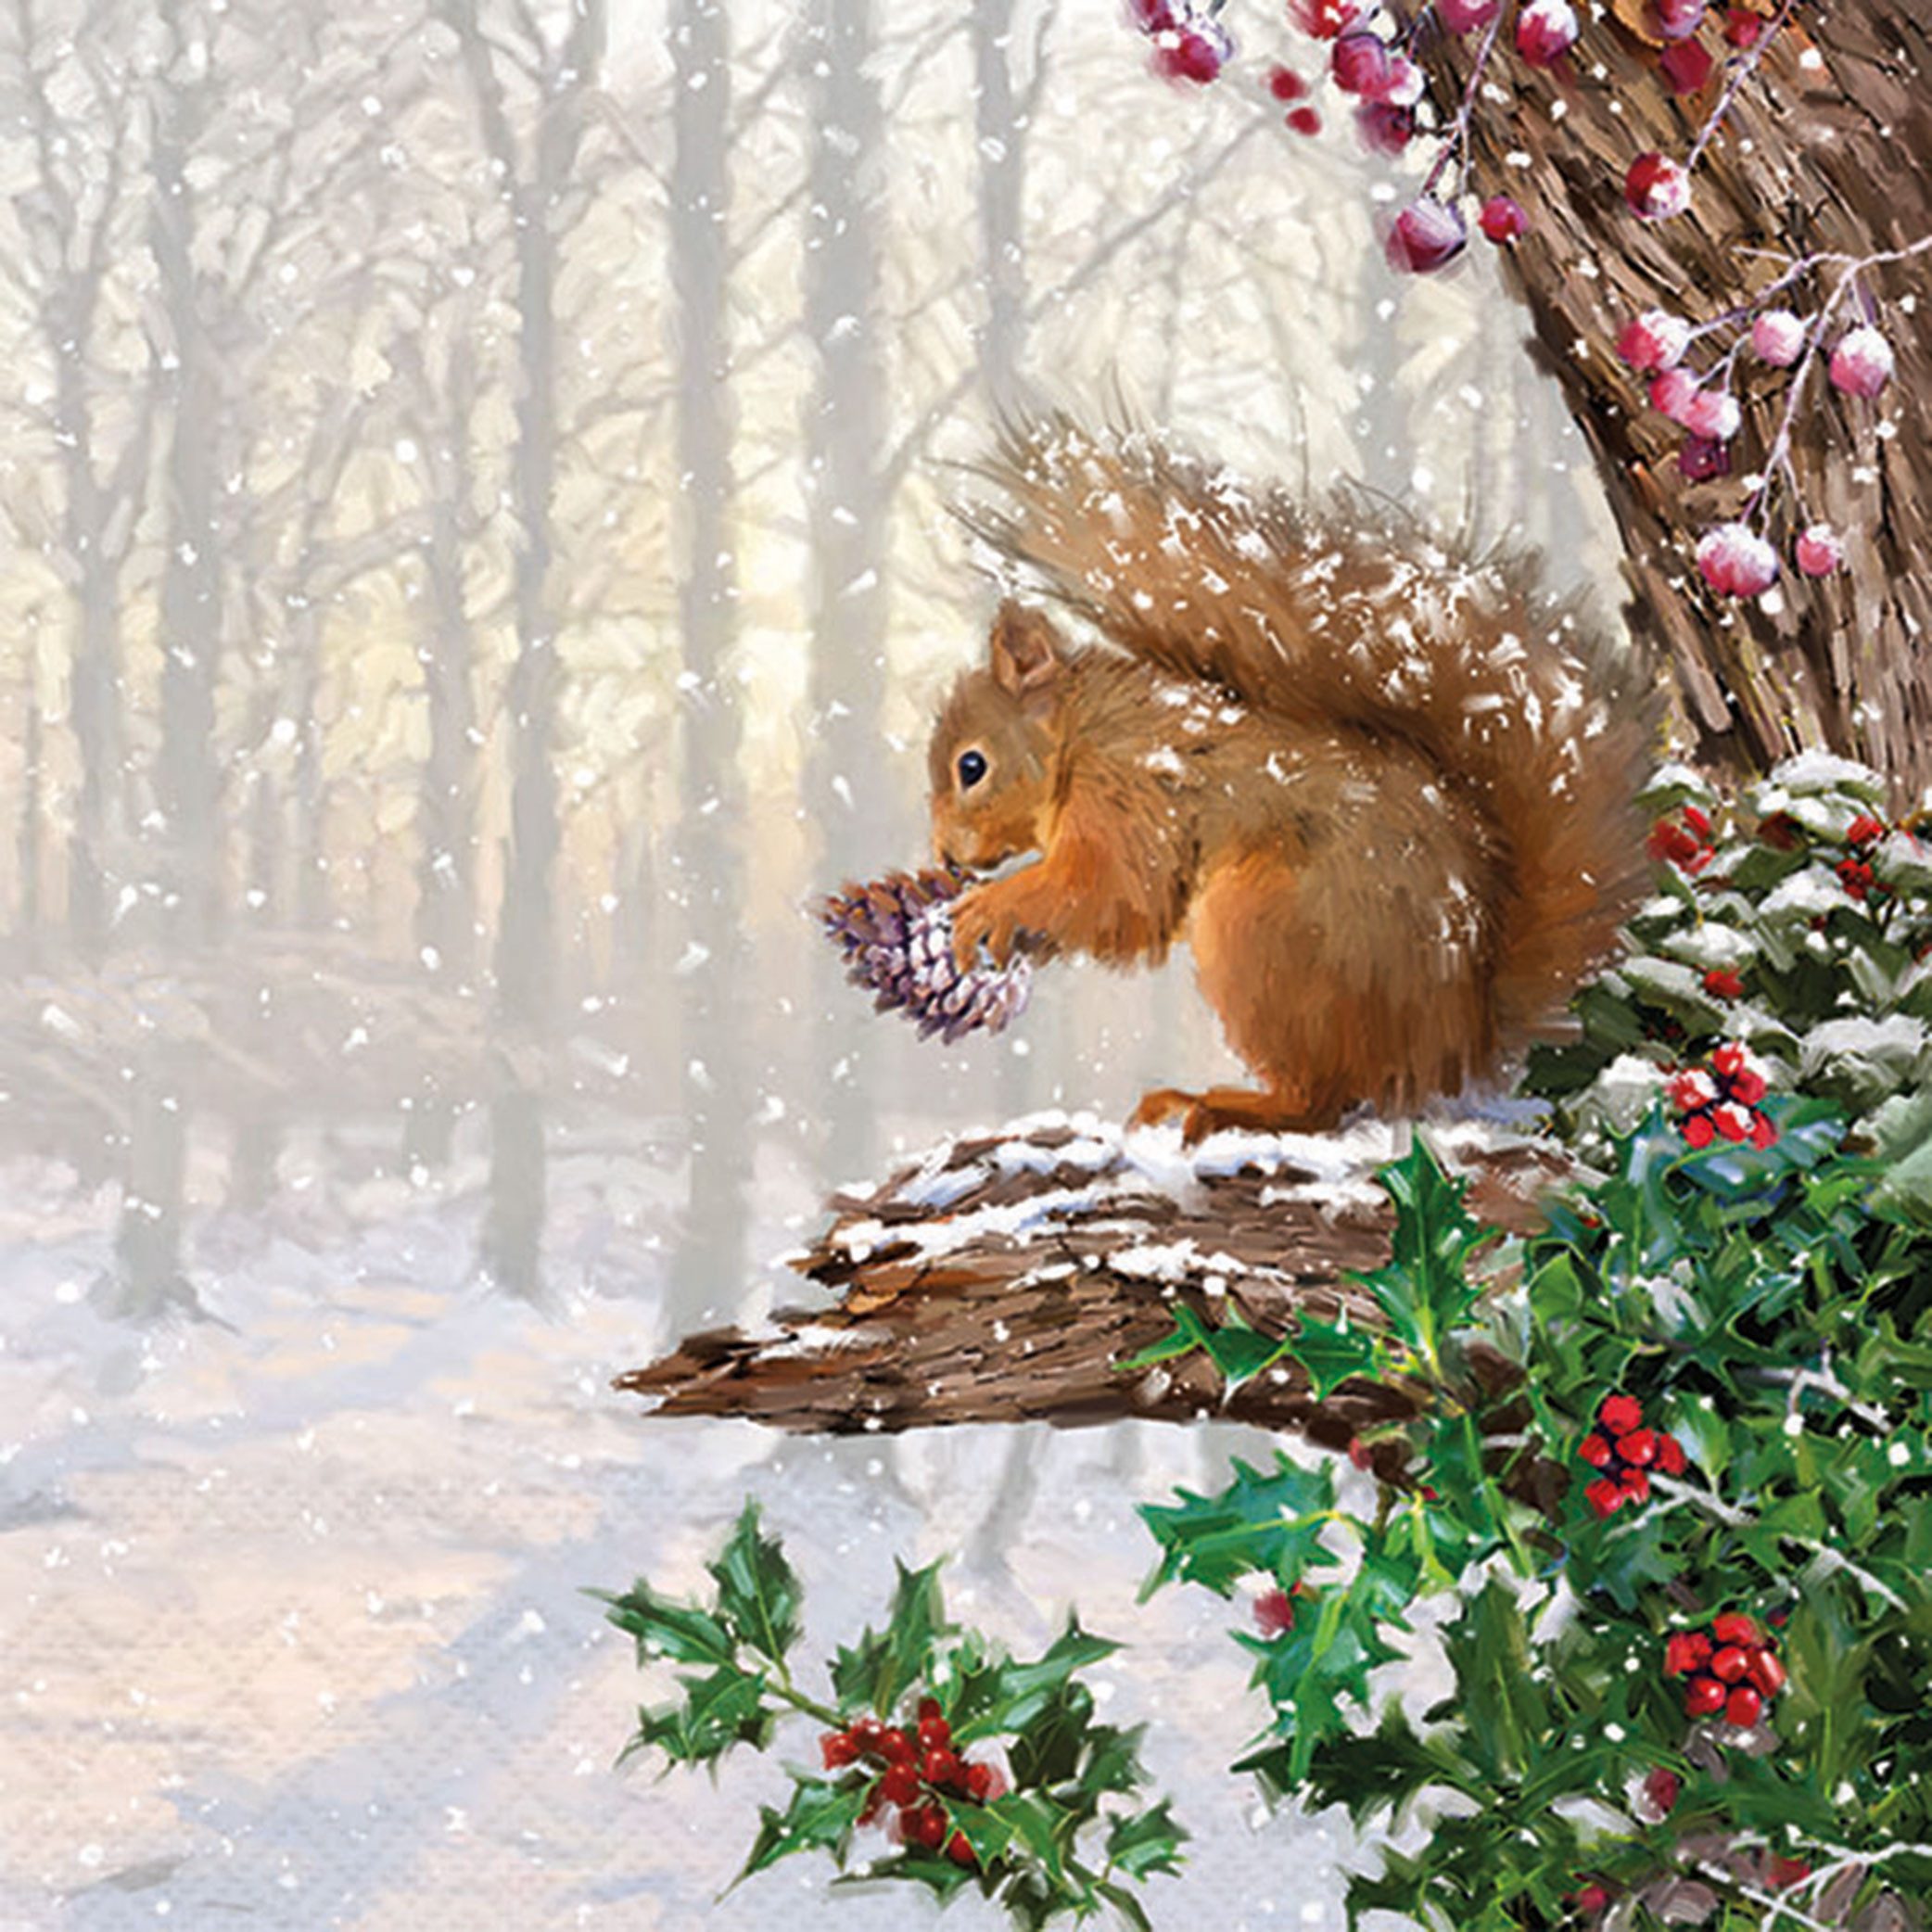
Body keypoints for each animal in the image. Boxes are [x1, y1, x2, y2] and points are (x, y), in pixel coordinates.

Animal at [927, 415, 1654, 1144]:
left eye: (971, 767)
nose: (945, 857)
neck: (1079, 738)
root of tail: (1457, 1043)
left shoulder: (1128, 794)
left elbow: (1113, 893)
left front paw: (989, 906)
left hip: (1264, 933)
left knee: (1321, 1100)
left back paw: (1222, 1105)